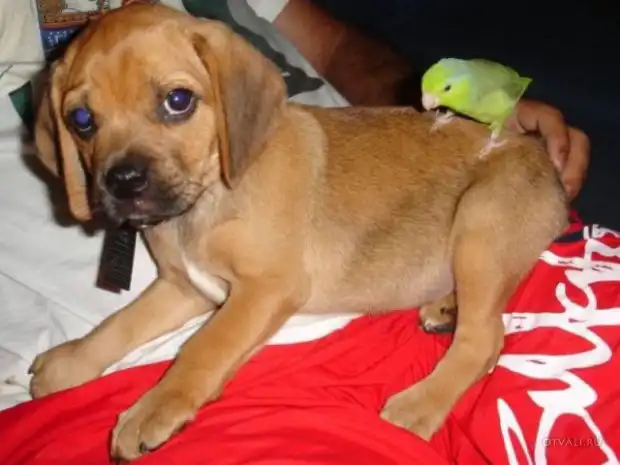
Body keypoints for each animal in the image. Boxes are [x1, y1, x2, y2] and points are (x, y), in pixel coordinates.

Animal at [30, 3, 568, 461]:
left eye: (177, 101)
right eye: (81, 120)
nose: (123, 183)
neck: (203, 204)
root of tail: (544, 159)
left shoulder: (266, 289)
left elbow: (203, 347)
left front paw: (154, 408)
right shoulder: (185, 287)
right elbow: (118, 325)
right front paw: (69, 364)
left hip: (480, 221)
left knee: (485, 339)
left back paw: (419, 404)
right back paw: (445, 308)